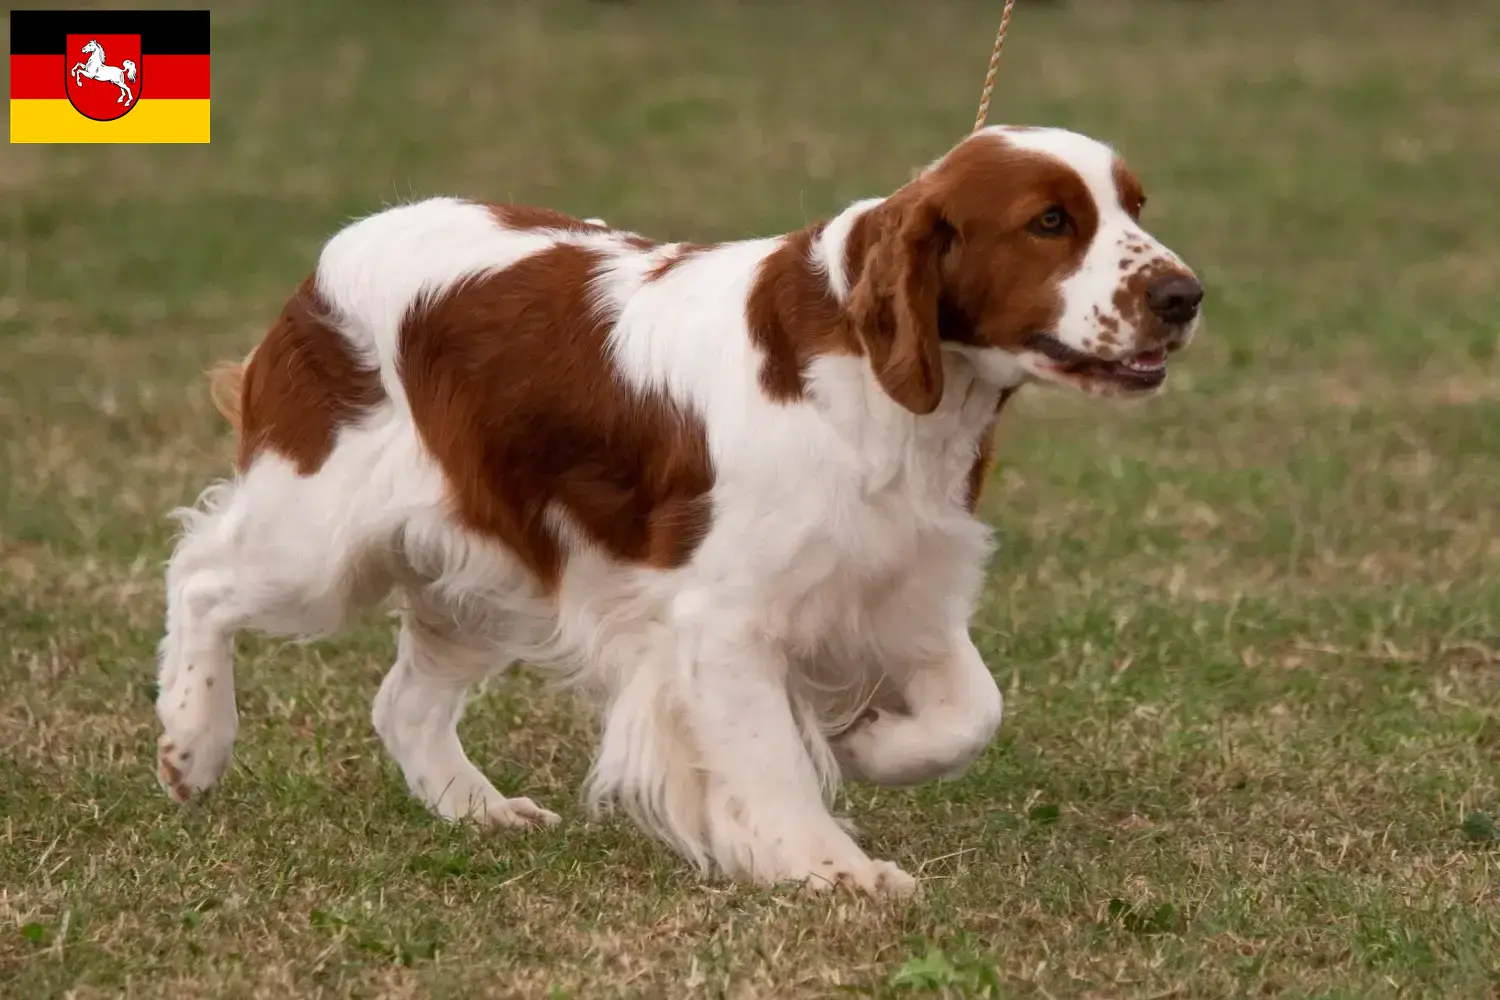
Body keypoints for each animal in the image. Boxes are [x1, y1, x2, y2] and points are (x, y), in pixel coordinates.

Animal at [155, 121, 1206, 893]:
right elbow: (771, 761)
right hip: (319, 537)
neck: (883, 387)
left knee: (403, 701)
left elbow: (971, 712)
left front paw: (867, 745)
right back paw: (191, 744)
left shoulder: (900, 584)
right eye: (1050, 222)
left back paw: (479, 809)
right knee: (201, 576)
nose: (1185, 295)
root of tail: (333, 255)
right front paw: (834, 869)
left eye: (1135, 206)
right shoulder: (723, 618)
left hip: (494, 568)